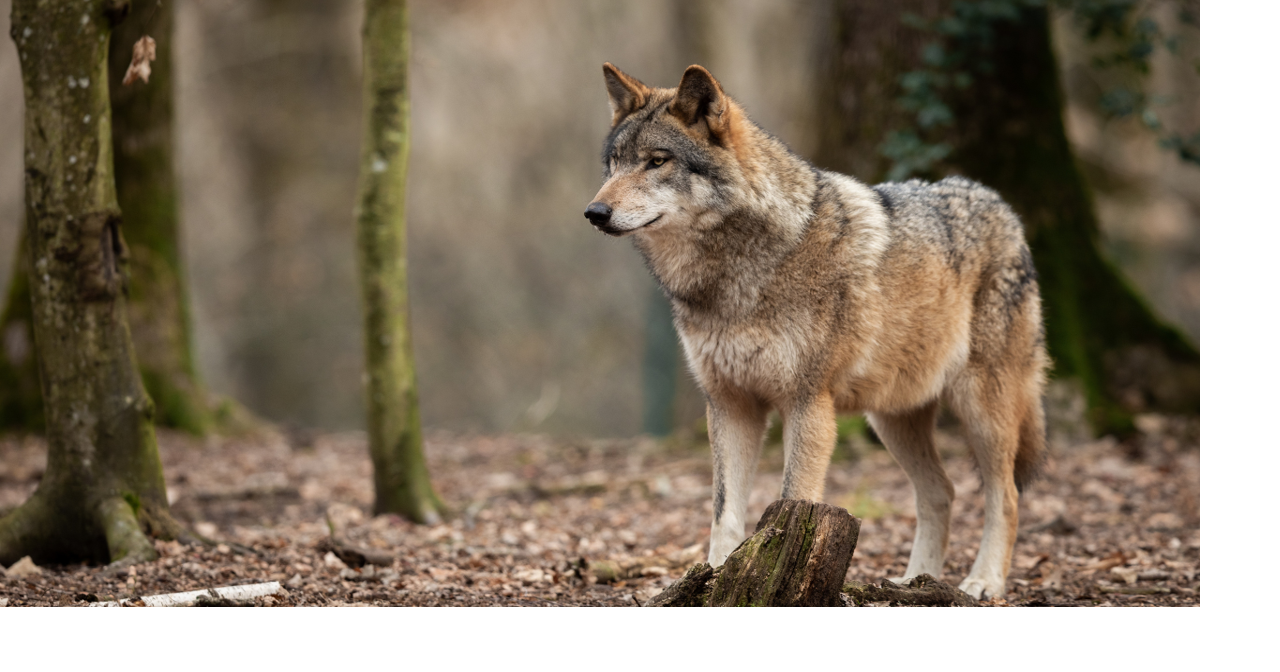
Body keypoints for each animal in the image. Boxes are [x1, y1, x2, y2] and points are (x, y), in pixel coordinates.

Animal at [584, 64, 1048, 599]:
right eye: (613, 164)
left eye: (657, 161)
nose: (594, 213)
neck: (735, 277)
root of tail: (1000, 204)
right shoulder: (729, 404)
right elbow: (724, 512)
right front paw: (716, 577)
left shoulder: (807, 404)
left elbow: (792, 501)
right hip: (891, 419)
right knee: (942, 492)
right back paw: (916, 581)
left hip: (981, 409)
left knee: (1005, 495)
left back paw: (983, 581)